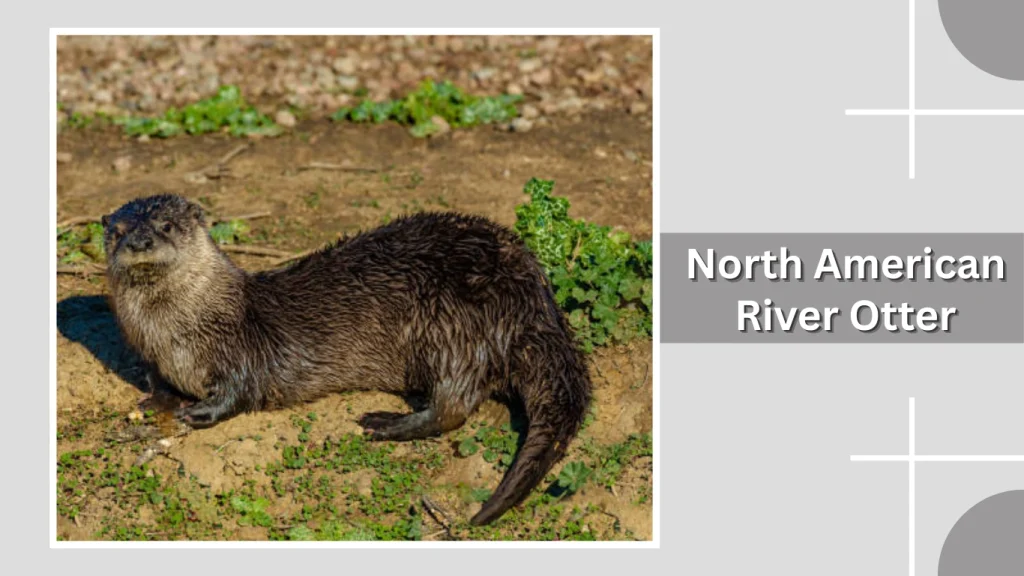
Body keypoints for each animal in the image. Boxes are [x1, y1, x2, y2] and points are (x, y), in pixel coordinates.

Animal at [101, 193, 592, 527]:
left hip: (451, 323)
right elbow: (158, 383)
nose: (140, 241)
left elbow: (241, 390)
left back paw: (384, 424)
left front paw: (200, 412)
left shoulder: (244, 347)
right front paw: (157, 401)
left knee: (454, 406)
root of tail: (532, 293)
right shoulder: (153, 356)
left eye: (166, 225)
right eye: (117, 230)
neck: (178, 333)